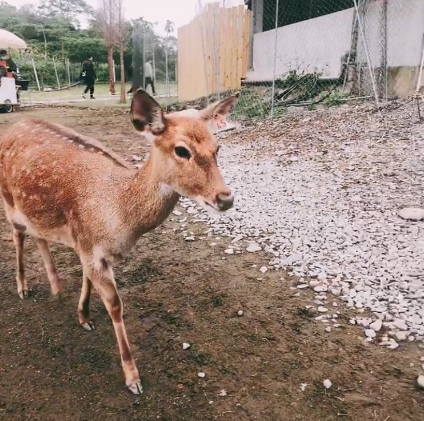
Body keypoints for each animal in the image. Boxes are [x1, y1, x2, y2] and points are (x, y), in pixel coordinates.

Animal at [0, 88, 238, 394]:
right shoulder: (90, 248)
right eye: (181, 150)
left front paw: (84, 317)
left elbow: (87, 280)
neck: (119, 220)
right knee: (17, 234)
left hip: (36, 212)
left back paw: (56, 287)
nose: (225, 199)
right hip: (8, 200)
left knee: (39, 235)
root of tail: (14, 126)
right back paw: (23, 288)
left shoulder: (87, 245)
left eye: (217, 148)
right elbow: (114, 305)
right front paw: (133, 378)